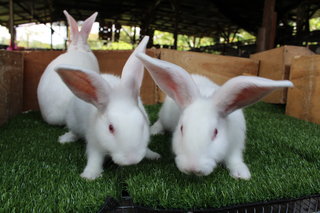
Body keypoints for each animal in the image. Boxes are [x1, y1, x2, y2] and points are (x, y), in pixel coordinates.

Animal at [54, 36, 160, 180]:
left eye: (142, 125)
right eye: (110, 128)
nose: (131, 159)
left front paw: (153, 155)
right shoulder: (94, 142)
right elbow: (94, 159)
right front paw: (89, 175)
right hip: (72, 122)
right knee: (74, 132)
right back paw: (65, 139)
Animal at [136, 52, 294, 179]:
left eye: (216, 132)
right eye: (181, 129)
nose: (193, 168)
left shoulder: (236, 144)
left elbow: (235, 160)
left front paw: (242, 174)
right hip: (167, 117)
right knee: (161, 121)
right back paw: (154, 131)